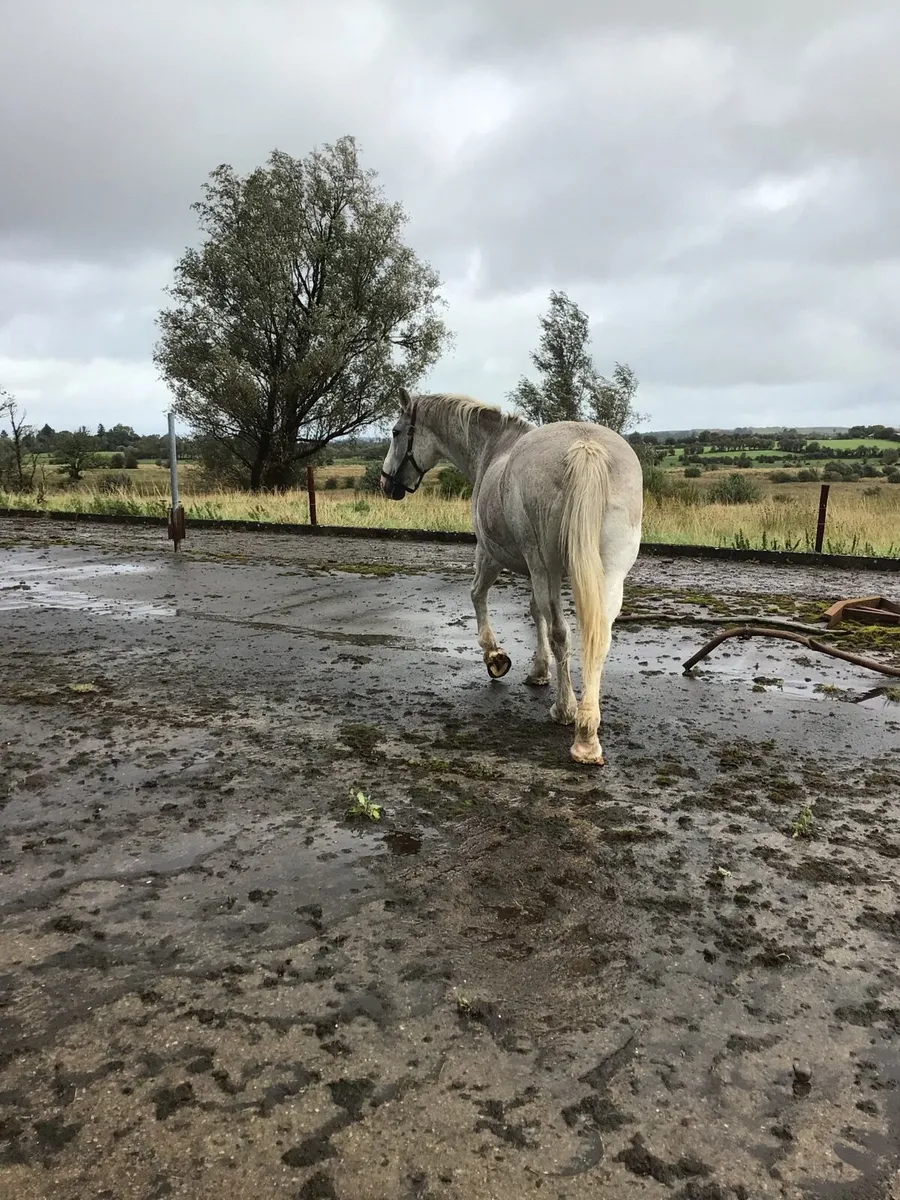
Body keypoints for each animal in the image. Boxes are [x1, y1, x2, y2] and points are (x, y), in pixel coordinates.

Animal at [380, 388, 644, 765]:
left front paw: (495, 656)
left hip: (544, 566)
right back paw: (588, 730)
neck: (493, 449)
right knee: (598, 638)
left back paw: (567, 713)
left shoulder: (490, 555)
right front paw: (538, 670)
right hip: (608, 575)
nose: (386, 483)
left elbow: (478, 596)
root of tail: (586, 447)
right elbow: (536, 614)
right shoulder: (538, 573)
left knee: (563, 634)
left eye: (396, 432)